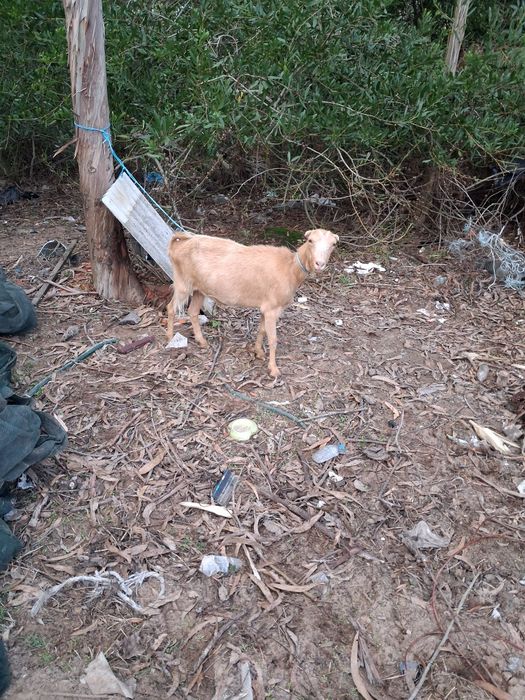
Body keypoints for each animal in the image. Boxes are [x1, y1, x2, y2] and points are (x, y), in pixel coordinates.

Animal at [166, 228, 339, 377]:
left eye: (333, 244)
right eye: (310, 240)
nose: (319, 264)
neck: (290, 268)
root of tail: (180, 242)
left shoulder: (265, 307)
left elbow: (261, 330)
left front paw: (259, 352)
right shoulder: (272, 308)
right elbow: (273, 339)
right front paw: (273, 369)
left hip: (199, 289)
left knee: (193, 312)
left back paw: (202, 342)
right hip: (183, 283)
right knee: (171, 307)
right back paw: (169, 337)